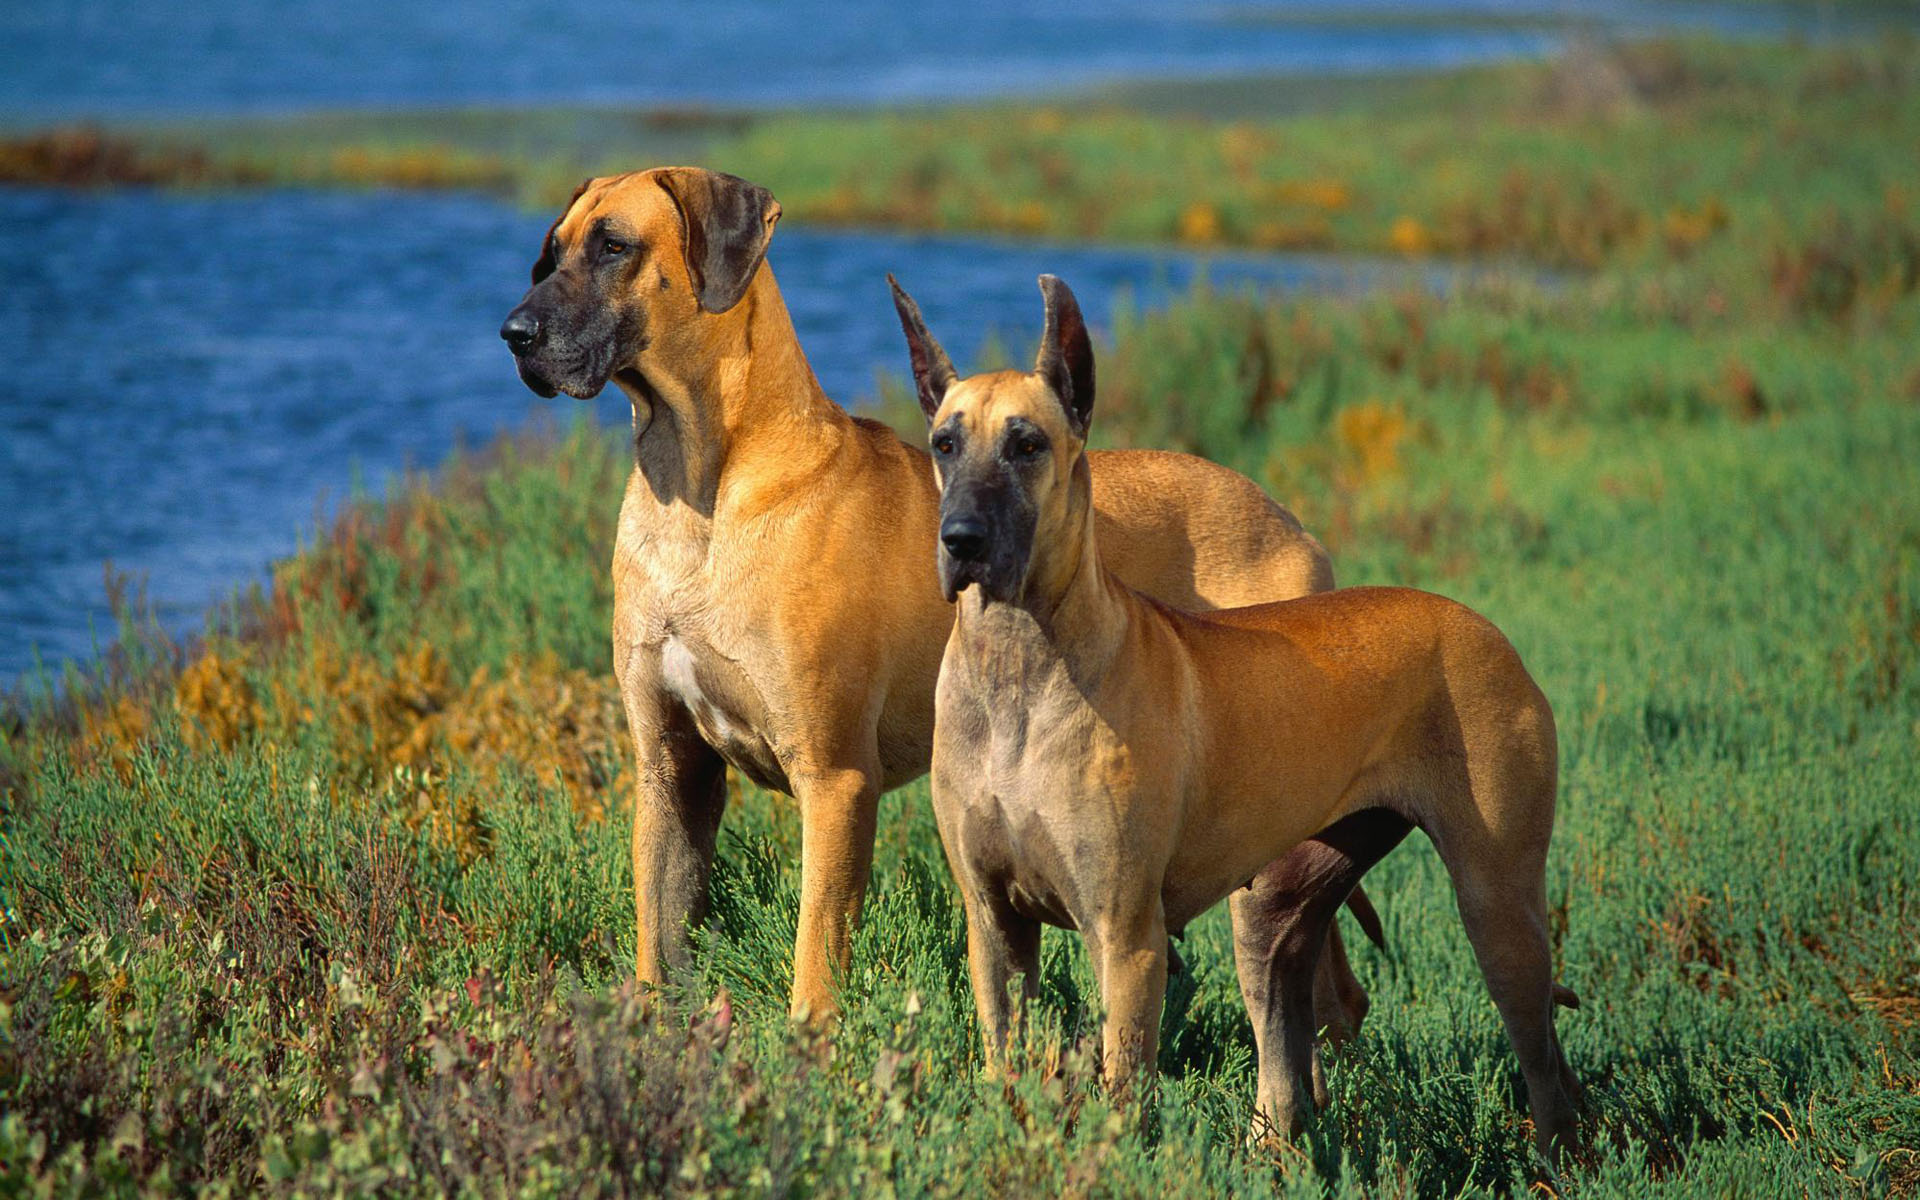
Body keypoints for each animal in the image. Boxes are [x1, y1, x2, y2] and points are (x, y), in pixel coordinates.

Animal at [491, 164, 1367, 1036]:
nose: (513, 334)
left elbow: (816, 950)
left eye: (614, 247)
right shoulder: (671, 767)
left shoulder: (837, 779)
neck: (697, 485)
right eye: (549, 254)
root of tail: (1293, 525)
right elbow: (661, 932)